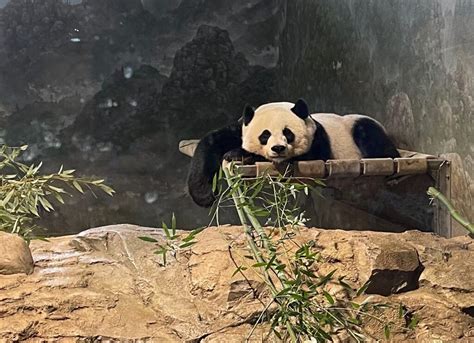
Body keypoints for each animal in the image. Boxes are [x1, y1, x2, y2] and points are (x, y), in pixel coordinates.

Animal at [187, 98, 398, 208]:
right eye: (265, 135)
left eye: (288, 133)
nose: (278, 149)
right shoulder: (240, 128)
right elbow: (212, 142)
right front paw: (204, 195)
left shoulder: (317, 139)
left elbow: (311, 156)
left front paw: (238, 153)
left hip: (357, 128)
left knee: (371, 136)